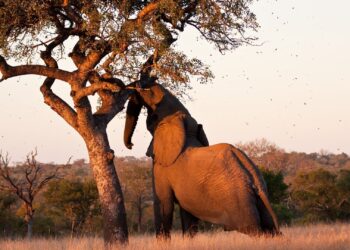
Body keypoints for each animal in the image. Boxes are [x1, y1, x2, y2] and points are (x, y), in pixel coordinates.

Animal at [123, 80, 278, 238]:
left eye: (152, 118)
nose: (130, 145)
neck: (183, 126)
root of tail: (256, 182)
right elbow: (187, 214)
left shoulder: (162, 167)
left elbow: (164, 204)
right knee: (269, 229)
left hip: (239, 200)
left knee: (253, 229)